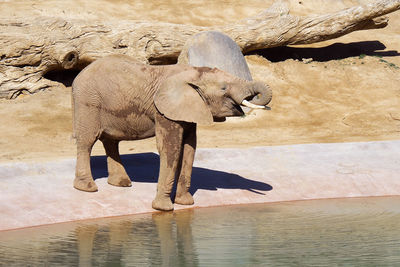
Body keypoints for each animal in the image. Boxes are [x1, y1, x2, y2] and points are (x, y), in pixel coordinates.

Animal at [71, 54, 272, 211]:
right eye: (224, 88)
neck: (191, 72)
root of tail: (79, 75)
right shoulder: (163, 111)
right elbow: (171, 147)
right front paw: (164, 208)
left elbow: (190, 148)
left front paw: (185, 203)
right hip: (88, 101)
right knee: (87, 141)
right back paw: (87, 187)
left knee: (111, 141)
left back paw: (121, 183)